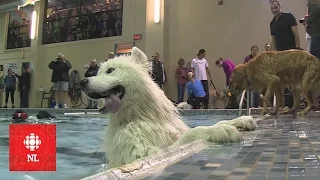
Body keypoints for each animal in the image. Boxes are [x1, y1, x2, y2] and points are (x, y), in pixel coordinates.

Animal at [79, 46, 258, 170]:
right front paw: (219, 131)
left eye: (110, 70)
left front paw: (241, 120)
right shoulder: (145, 155)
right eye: (98, 72)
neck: (143, 116)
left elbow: (214, 123)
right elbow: (192, 133)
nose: (82, 82)